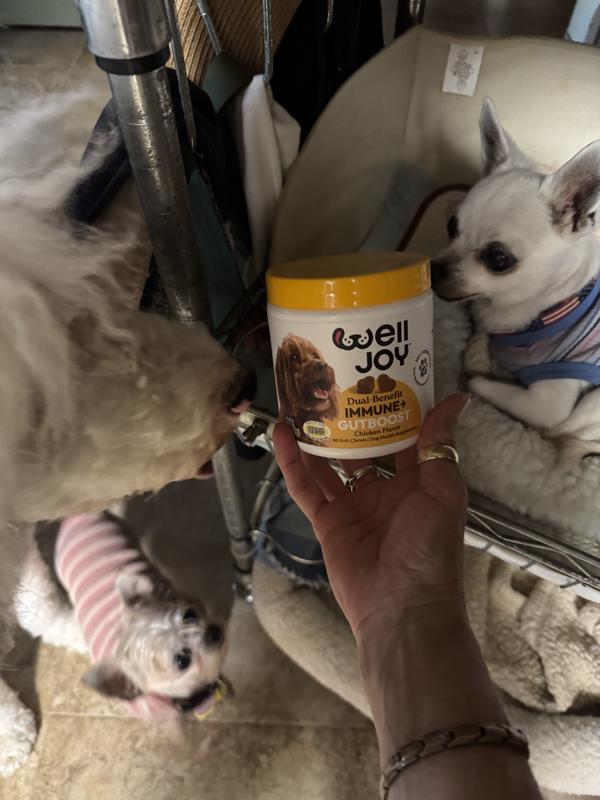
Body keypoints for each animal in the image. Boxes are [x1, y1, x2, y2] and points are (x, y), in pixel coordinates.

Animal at [432, 97, 600, 460]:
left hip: (591, 404)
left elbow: (476, 381)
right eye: (451, 226)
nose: (433, 270)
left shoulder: (547, 405)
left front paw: (478, 358)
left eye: (499, 259)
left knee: (562, 433)